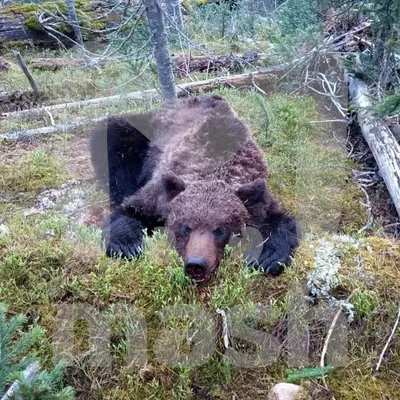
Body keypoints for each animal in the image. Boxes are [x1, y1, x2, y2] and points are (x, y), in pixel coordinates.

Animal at [89, 94, 298, 282]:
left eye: (220, 229)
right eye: (186, 227)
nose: (196, 264)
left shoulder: (257, 192)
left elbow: (279, 221)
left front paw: (268, 257)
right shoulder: (160, 192)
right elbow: (129, 210)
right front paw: (128, 245)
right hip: (146, 132)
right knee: (112, 136)